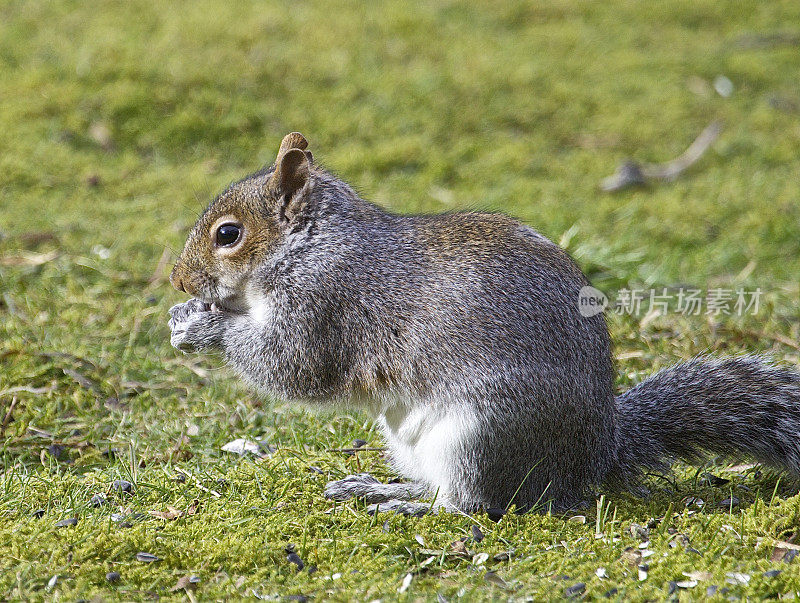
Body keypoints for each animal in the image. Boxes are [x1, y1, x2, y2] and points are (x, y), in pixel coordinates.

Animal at [167, 134, 800, 516]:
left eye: (228, 234)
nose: (177, 280)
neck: (310, 245)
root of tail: (595, 454)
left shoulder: (325, 304)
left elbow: (292, 366)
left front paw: (202, 328)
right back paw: (378, 486)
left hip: (482, 434)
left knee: (471, 504)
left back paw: (411, 505)